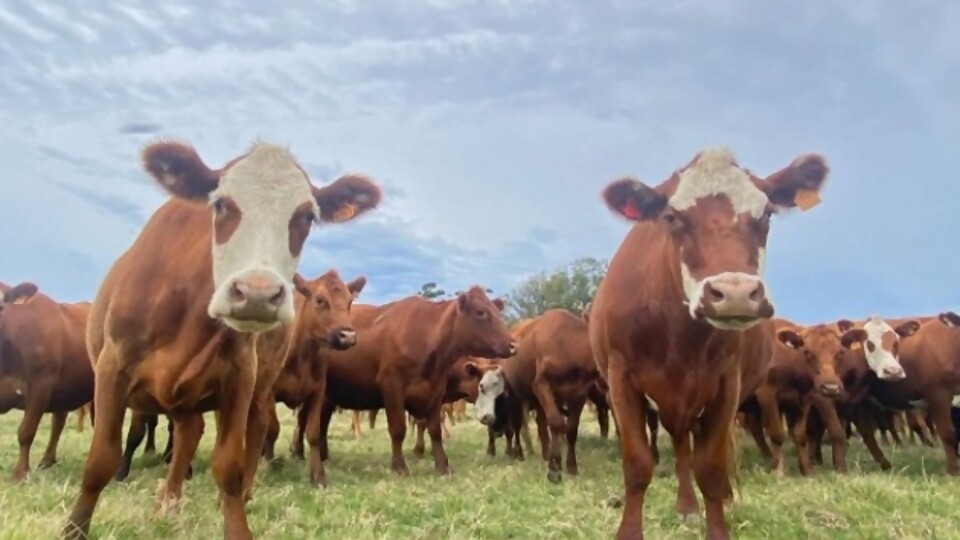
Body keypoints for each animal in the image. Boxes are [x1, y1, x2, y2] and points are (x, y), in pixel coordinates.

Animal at [0, 280, 94, 478]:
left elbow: (26, 431)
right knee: (58, 421)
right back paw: (47, 461)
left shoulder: (41, 384)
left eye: (1, 307)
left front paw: (20, 473)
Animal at [260, 270, 366, 486]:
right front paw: (269, 465)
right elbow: (272, 428)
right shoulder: (268, 392)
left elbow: (314, 432)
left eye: (350, 301)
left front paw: (318, 474)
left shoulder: (318, 392)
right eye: (320, 300)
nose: (348, 336)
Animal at [316, 286, 512, 476]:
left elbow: (434, 429)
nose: (513, 344)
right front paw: (401, 465)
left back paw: (323, 456)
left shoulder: (435, 392)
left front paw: (442, 464)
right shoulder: (392, 388)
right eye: (480, 312)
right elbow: (399, 429)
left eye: (497, 311)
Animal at [588, 148, 828, 540]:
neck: (679, 339)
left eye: (766, 213)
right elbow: (638, 465)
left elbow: (711, 468)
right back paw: (686, 505)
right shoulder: (620, 378)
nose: (734, 294)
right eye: (671, 217)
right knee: (682, 445)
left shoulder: (726, 384)